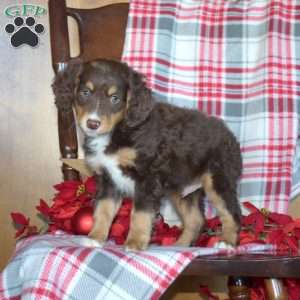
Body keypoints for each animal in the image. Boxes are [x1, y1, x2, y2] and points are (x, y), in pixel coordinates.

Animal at [52, 58, 243, 251]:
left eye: (115, 99)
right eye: (85, 92)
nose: (92, 123)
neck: (119, 129)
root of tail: (229, 135)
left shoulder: (147, 178)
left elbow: (140, 214)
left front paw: (135, 242)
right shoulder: (108, 179)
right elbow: (103, 210)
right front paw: (95, 238)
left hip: (218, 180)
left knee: (232, 213)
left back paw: (226, 242)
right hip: (183, 190)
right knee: (195, 219)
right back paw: (180, 245)